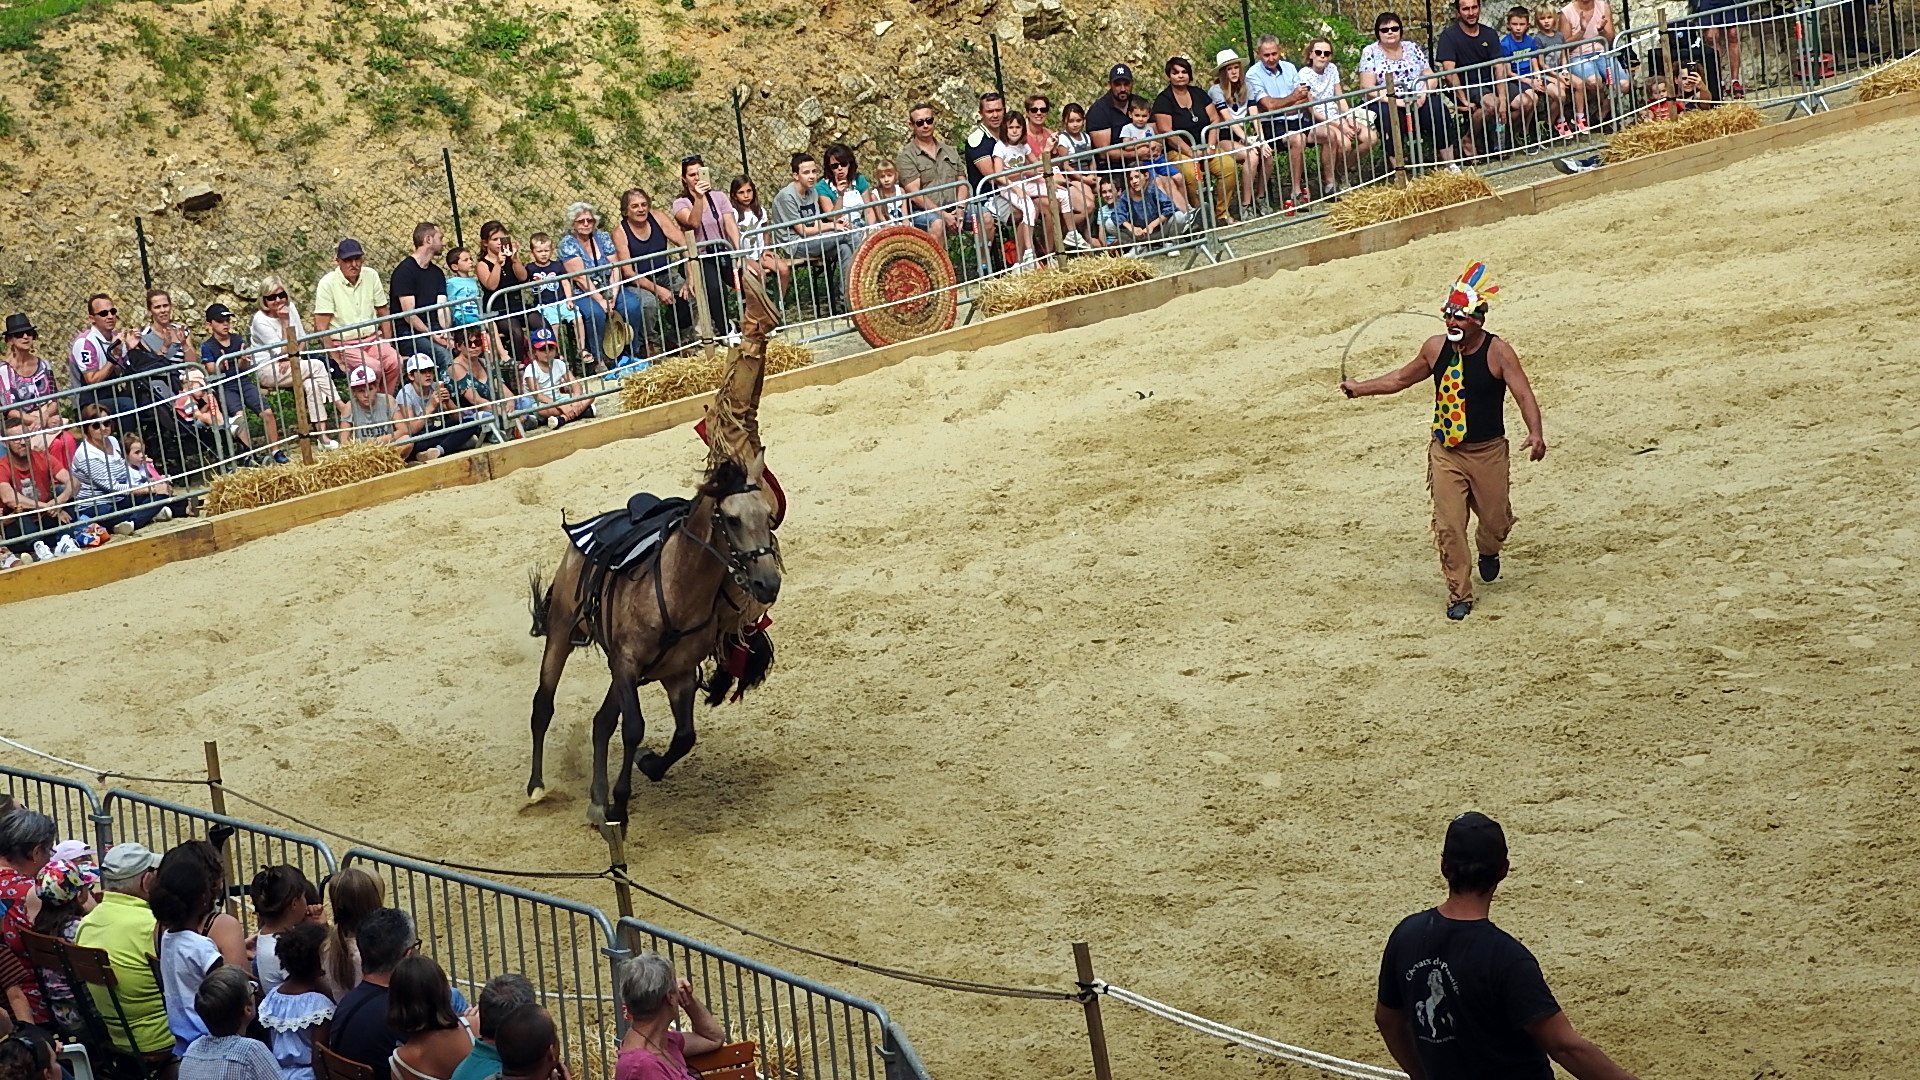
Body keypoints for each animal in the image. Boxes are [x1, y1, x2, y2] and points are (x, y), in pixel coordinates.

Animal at [525, 452, 781, 825]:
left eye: (768, 517)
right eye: (732, 520)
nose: (768, 584)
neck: (679, 588)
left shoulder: (678, 675)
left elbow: (683, 737)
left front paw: (645, 765)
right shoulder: (627, 664)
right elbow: (633, 728)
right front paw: (619, 805)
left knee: (601, 722)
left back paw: (597, 798)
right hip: (561, 633)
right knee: (543, 705)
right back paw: (537, 787)